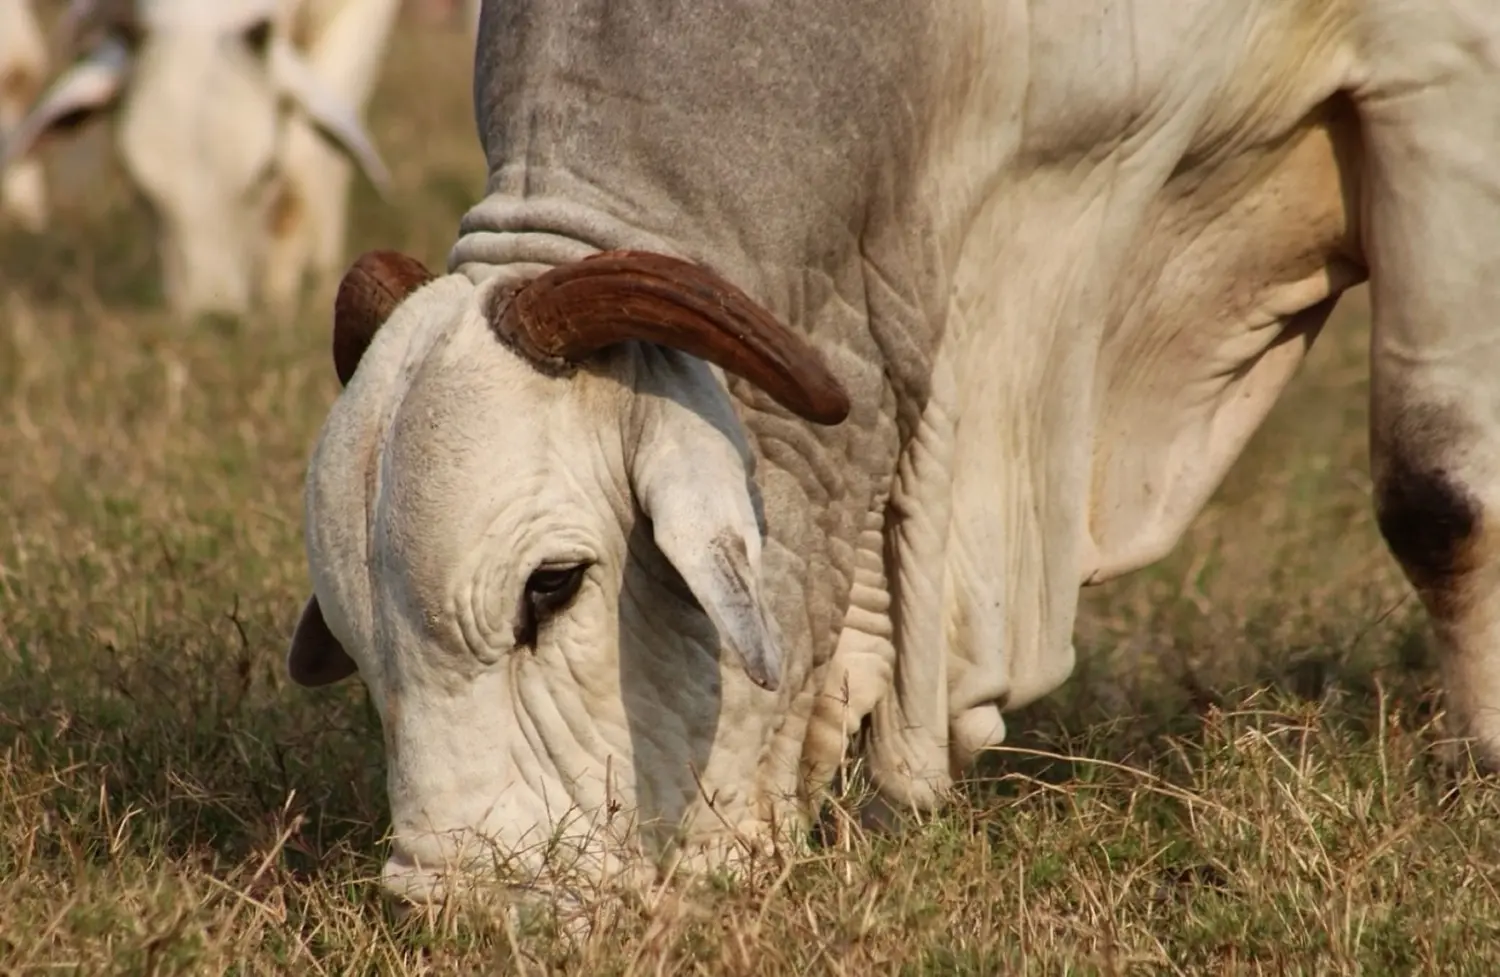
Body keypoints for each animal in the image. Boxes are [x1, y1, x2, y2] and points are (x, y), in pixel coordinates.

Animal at [0, 0, 399, 319]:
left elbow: (305, 160)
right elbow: (15, 63)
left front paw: (285, 292)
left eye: (265, 172)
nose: (211, 314)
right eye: (139, 188)